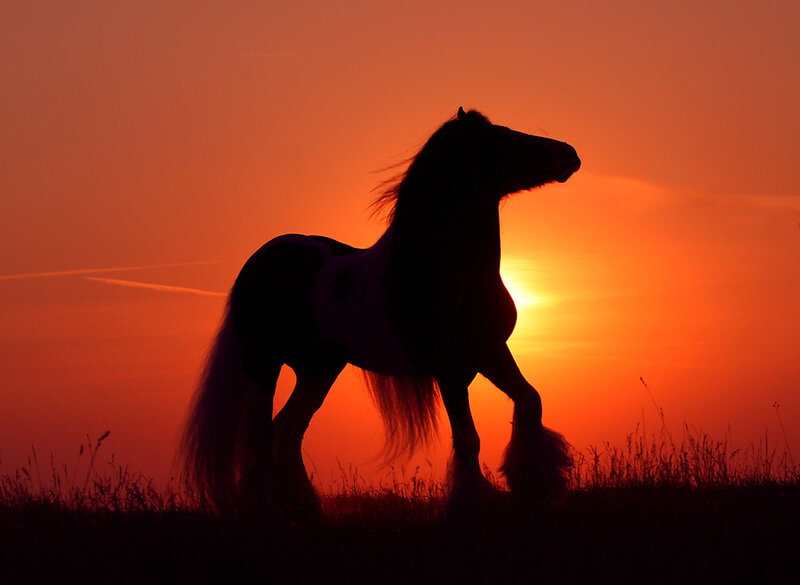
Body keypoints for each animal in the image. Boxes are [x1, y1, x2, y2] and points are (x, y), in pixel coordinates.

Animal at [180, 107, 581, 513]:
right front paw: (468, 503)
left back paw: (305, 507)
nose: (570, 154)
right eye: (501, 138)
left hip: (318, 368)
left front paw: (535, 484)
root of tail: (261, 259)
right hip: (264, 360)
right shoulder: (450, 369)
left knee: (289, 428)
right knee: (261, 431)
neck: (448, 271)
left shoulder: (490, 352)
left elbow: (530, 400)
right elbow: (468, 438)